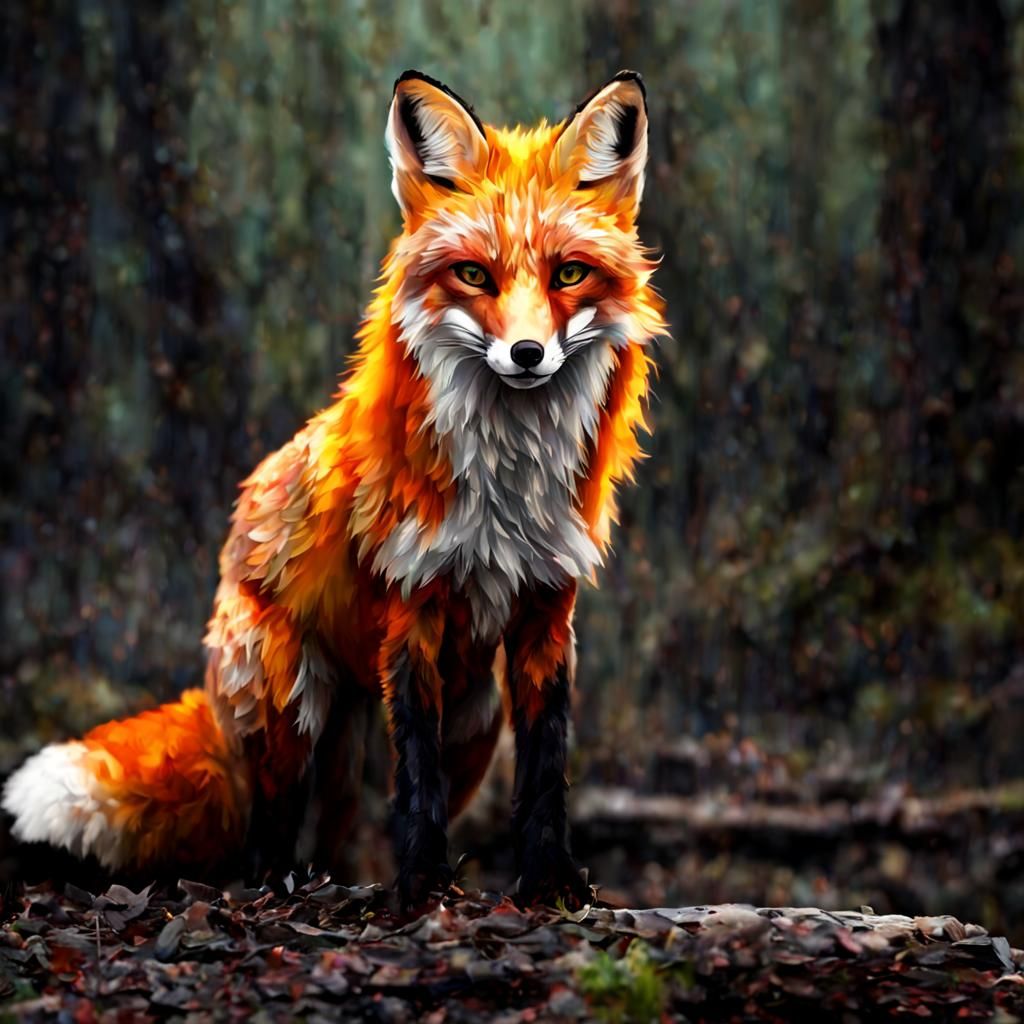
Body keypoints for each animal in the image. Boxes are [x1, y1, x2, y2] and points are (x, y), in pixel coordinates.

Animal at [3, 70, 664, 908]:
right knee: (268, 822)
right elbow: (415, 774)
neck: (507, 483)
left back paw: (339, 880)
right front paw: (421, 887)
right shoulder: (411, 607)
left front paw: (546, 883)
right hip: (291, 703)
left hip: (473, 721)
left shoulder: (549, 610)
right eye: (474, 274)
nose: (525, 353)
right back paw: (280, 881)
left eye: (568, 274)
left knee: (346, 824)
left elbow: (546, 766)